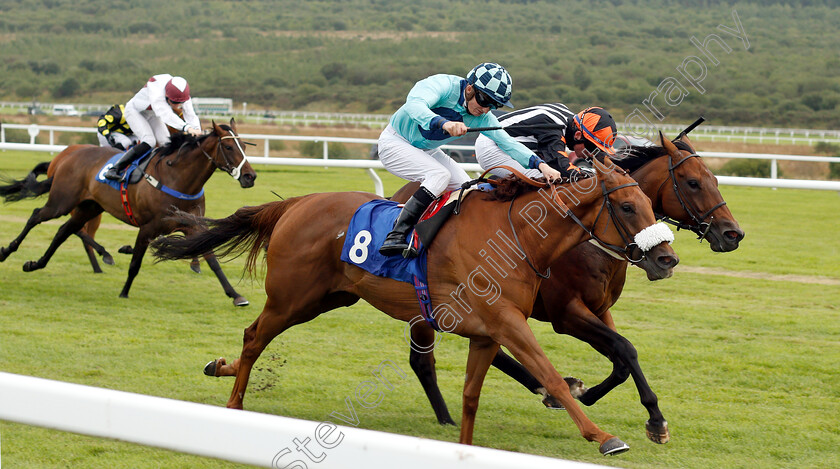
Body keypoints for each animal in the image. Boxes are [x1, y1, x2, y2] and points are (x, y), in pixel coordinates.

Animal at [0, 119, 256, 306]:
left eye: (243, 146)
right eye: (228, 146)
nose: (250, 176)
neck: (178, 179)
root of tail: (66, 157)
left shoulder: (193, 225)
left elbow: (212, 261)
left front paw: (236, 295)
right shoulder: (148, 227)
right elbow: (135, 263)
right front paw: (124, 291)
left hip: (89, 207)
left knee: (64, 231)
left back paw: (36, 264)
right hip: (62, 202)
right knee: (36, 216)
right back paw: (7, 251)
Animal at [149, 155, 676, 456]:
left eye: (651, 204)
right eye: (627, 207)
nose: (667, 258)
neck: (517, 236)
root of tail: (296, 203)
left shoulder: (490, 332)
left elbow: (471, 396)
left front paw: (465, 446)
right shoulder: (513, 323)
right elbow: (550, 376)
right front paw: (604, 435)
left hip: (327, 299)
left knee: (254, 337)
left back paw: (219, 368)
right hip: (291, 297)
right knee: (255, 335)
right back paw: (234, 403)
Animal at [390, 131, 744, 442]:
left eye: (715, 180)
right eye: (693, 183)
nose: (733, 234)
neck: (588, 240)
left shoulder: (600, 309)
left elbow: (623, 358)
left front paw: (615, 404)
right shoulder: (566, 314)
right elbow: (625, 348)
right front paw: (652, 420)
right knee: (431, 357)